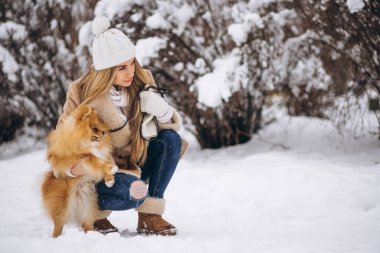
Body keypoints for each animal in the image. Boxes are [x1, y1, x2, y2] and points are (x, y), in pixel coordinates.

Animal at [40, 104, 117, 237]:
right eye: (94, 128)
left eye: (98, 126)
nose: (103, 132)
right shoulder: (81, 158)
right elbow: (96, 161)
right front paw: (110, 169)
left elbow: (102, 164)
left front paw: (109, 180)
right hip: (63, 207)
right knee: (58, 225)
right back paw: (56, 238)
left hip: (88, 204)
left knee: (87, 224)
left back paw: (92, 235)